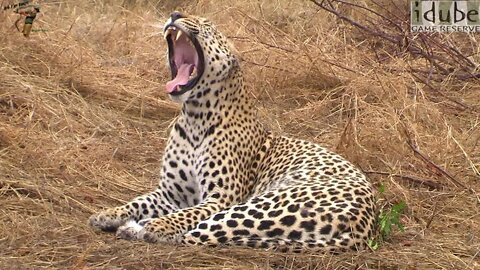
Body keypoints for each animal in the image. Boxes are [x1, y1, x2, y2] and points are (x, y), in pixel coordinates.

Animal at [88, 10, 376, 251]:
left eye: (208, 25)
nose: (175, 13)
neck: (195, 117)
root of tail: (366, 227)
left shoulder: (220, 198)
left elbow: (185, 215)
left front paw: (157, 224)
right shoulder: (172, 193)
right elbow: (139, 201)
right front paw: (108, 213)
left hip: (258, 205)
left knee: (195, 234)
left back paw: (143, 228)